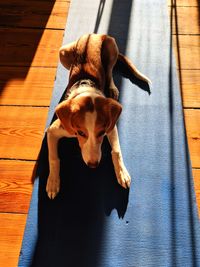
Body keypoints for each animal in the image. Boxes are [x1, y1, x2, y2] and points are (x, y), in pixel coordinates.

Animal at [46, 34, 151, 199]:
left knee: (109, 72)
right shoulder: (52, 131)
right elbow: (53, 158)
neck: (86, 90)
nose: (93, 165)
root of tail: (93, 35)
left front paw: (122, 173)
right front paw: (52, 183)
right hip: (63, 53)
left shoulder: (111, 126)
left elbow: (116, 151)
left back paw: (112, 88)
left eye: (101, 133)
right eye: (80, 132)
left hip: (111, 47)